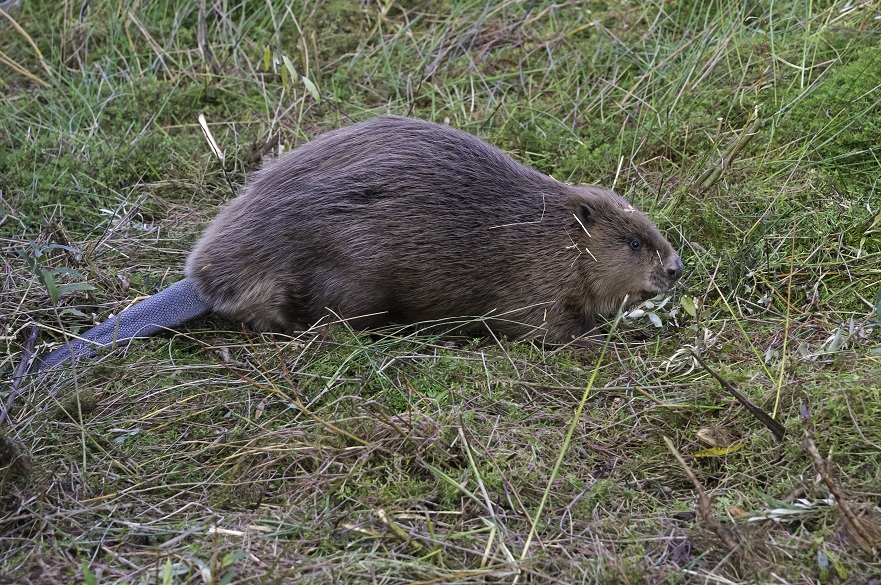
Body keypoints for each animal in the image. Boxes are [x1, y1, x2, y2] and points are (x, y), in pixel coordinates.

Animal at [34, 115, 680, 370]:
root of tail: (201, 282)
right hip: (349, 281)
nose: (675, 268)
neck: (543, 230)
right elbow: (550, 330)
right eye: (633, 242)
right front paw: (611, 342)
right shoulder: (532, 284)